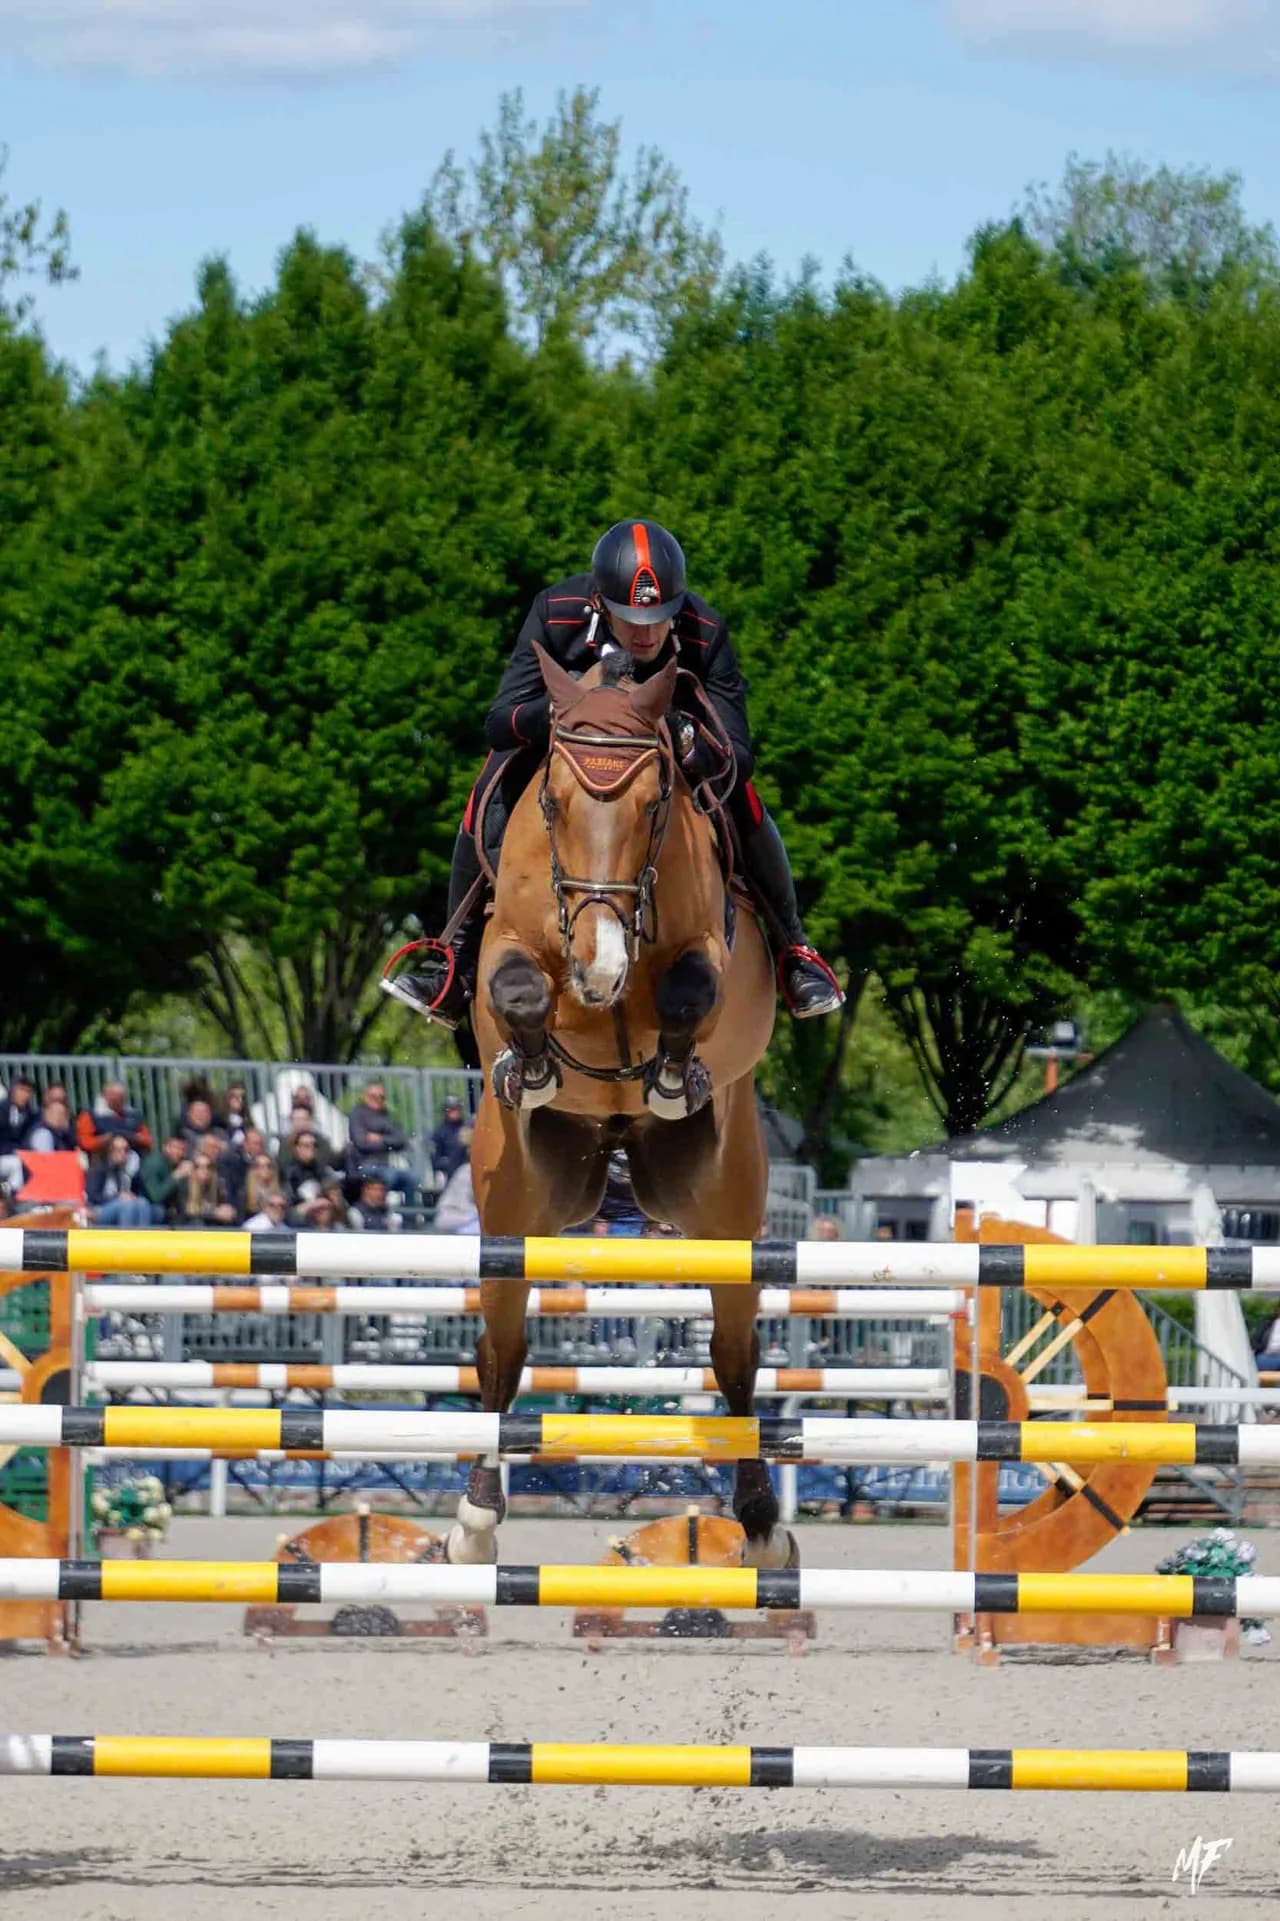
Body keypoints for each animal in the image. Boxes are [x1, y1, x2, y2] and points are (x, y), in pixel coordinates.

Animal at [446, 643, 795, 1570]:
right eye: (553, 804)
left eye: (653, 807)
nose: (599, 965)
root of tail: (613, 1153)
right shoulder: (506, 945)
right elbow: (518, 987)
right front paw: (534, 1057)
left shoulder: (711, 952)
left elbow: (687, 987)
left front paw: (669, 1068)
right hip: (514, 1202)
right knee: (501, 1350)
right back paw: (475, 1518)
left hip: (725, 1210)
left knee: (735, 1356)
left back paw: (761, 1523)